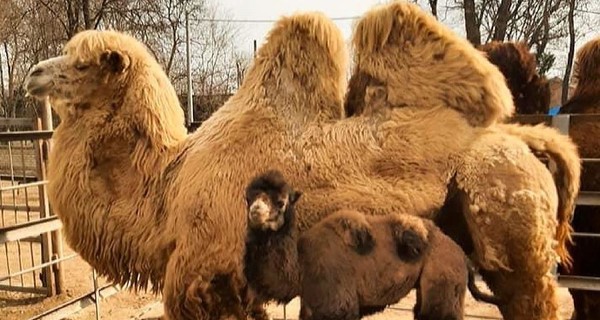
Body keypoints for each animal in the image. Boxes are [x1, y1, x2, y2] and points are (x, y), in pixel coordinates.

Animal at [241, 171, 500, 318]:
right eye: (249, 197)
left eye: (281, 202)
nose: (256, 211)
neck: (302, 268)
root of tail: (461, 254)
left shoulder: (337, 305)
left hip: (444, 276)